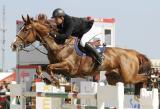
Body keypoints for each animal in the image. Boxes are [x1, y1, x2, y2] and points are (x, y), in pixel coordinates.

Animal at [11, 15, 151, 94]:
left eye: (26, 29)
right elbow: (41, 67)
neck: (58, 45)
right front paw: (46, 80)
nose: (13, 45)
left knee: (144, 77)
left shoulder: (69, 67)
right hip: (114, 77)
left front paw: (56, 82)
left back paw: (144, 90)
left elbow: (50, 68)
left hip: (129, 77)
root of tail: (134, 53)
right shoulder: (58, 65)